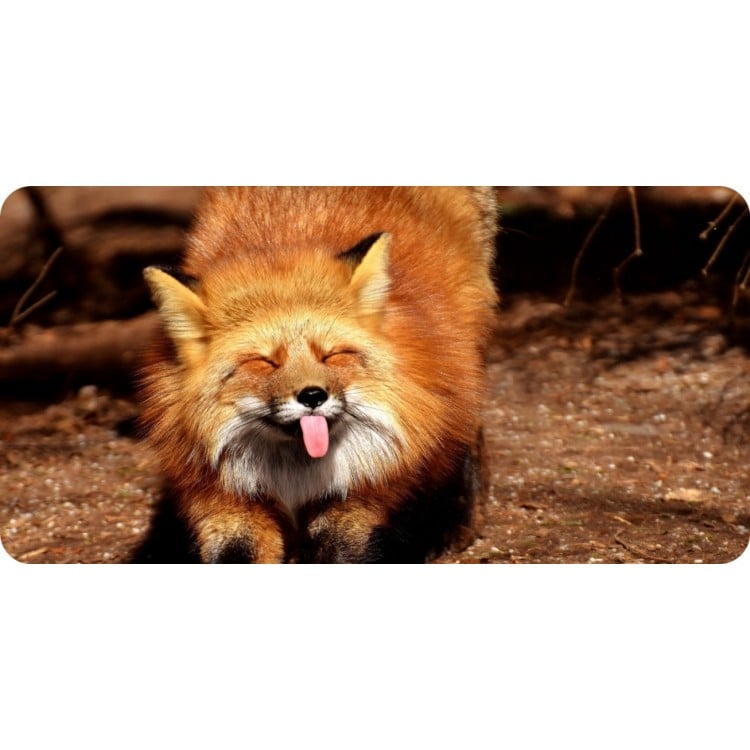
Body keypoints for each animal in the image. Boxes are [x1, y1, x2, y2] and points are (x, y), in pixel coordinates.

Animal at [138, 187, 499, 563]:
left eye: (332, 355)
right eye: (265, 362)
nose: (313, 395)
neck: (295, 477)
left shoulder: (359, 495)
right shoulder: (226, 501)